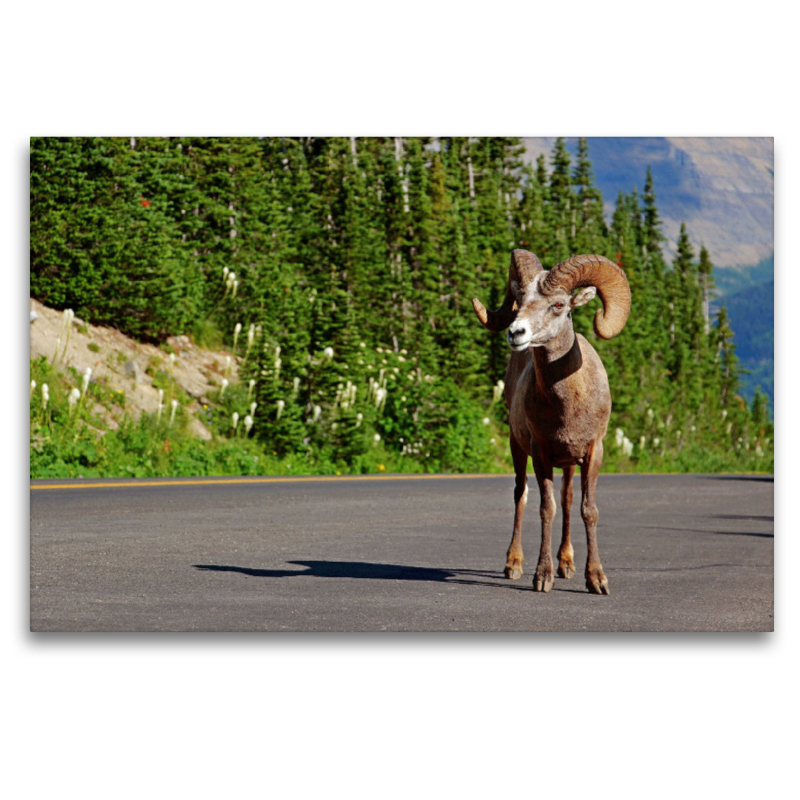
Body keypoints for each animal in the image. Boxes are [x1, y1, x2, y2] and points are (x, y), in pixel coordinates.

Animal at [472, 250, 628, 592]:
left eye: (558, 304)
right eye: (519, 299)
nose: (516, 334)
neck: (567, 405)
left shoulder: (593, 453)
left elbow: (587, 510)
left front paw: (596, 580)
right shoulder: (540, 453)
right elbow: (546, 509)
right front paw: (542, 577)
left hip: (568, 464)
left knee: (568, 501)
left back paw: (566, 564)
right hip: (517, 447)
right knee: (521, 494)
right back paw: (513, 564)